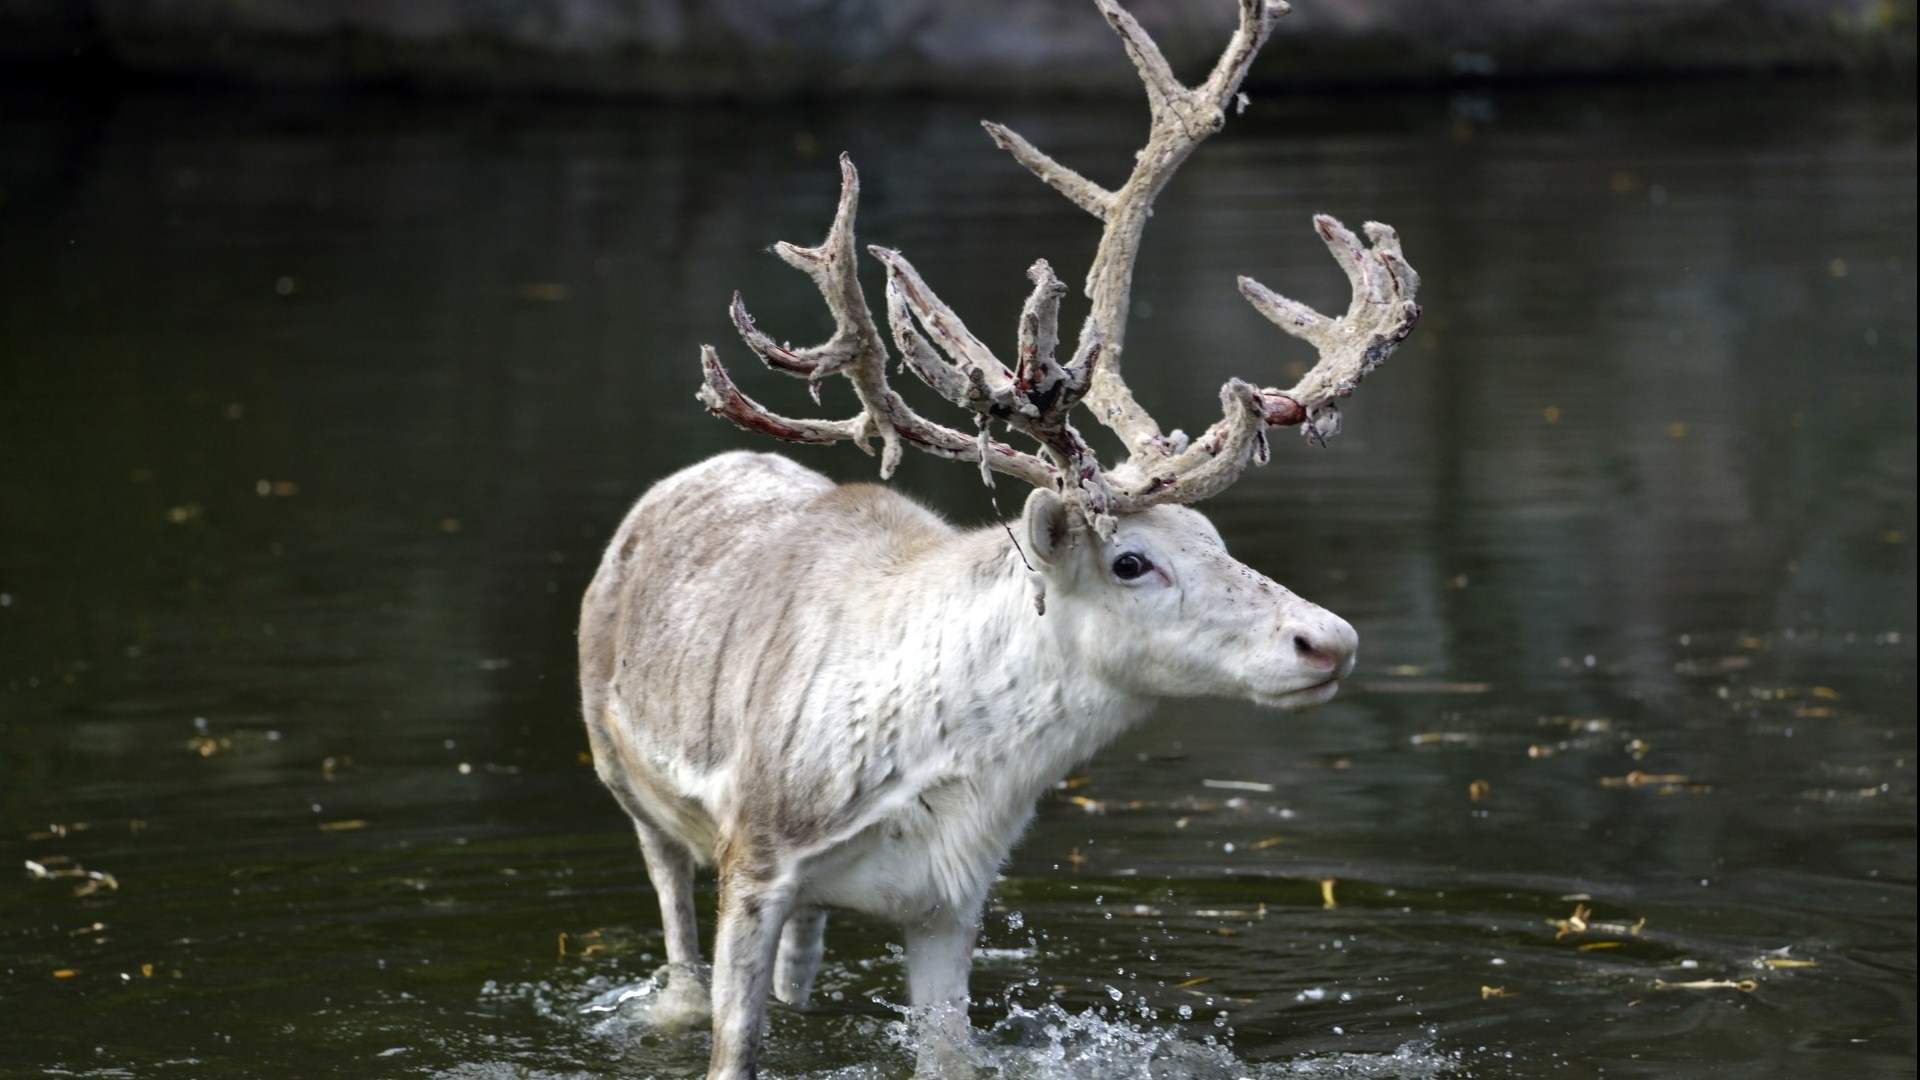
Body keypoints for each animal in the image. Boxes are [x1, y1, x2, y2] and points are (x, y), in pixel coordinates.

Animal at [577, 1, 1419, 1075]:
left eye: (1214, 533)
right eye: (1131, 560)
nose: (1328, 639)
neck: (945, 773)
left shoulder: (952, 900)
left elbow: (948, 1052)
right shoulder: (757, 851)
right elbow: (735, 1042)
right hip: (623, 775)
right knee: (673, 921)